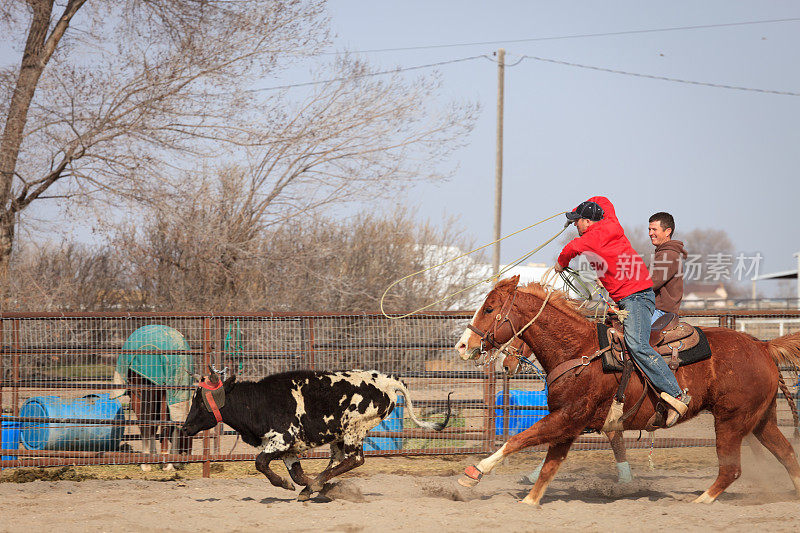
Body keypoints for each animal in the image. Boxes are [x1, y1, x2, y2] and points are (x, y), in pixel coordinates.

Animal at [184, 366, 454, 498]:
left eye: (201, 403)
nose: (185, 427)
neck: (258, 402)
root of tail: (386, 381)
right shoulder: (289, 450)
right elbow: (297, 474)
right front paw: (308, 486)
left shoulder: (282, 440)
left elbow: (261, 463)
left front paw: (289, 484)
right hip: (340, 437)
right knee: (338, 460)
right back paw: (316, 486)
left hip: (354, 429)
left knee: (355, 459)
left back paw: (316, 485)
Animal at [456, 276, 800, 504]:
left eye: (489, 309)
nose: (462, 346)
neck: (580, 351)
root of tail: (762, 345)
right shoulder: (569, 423)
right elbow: (550, 465)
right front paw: (529, 501)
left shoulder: (567, 417)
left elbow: (518, 440)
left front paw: (473, 474)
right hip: (761, 419)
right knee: (786, 454)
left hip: (730, 421)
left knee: (731, 470)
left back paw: (699, 501)